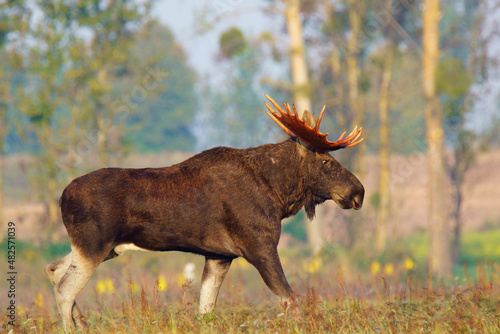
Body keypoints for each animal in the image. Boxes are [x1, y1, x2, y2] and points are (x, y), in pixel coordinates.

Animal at [46, 94, 364, 332]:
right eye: (326, 161)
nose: (358, 192)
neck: (278, 194)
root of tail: (62, 197)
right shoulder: (259, 246)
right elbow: (290, 300)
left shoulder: (219, 255)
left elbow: (206, 310)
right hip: (94, 245)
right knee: (64, 289)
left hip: (101, 248)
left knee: (53, 269)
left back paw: (83, 322)